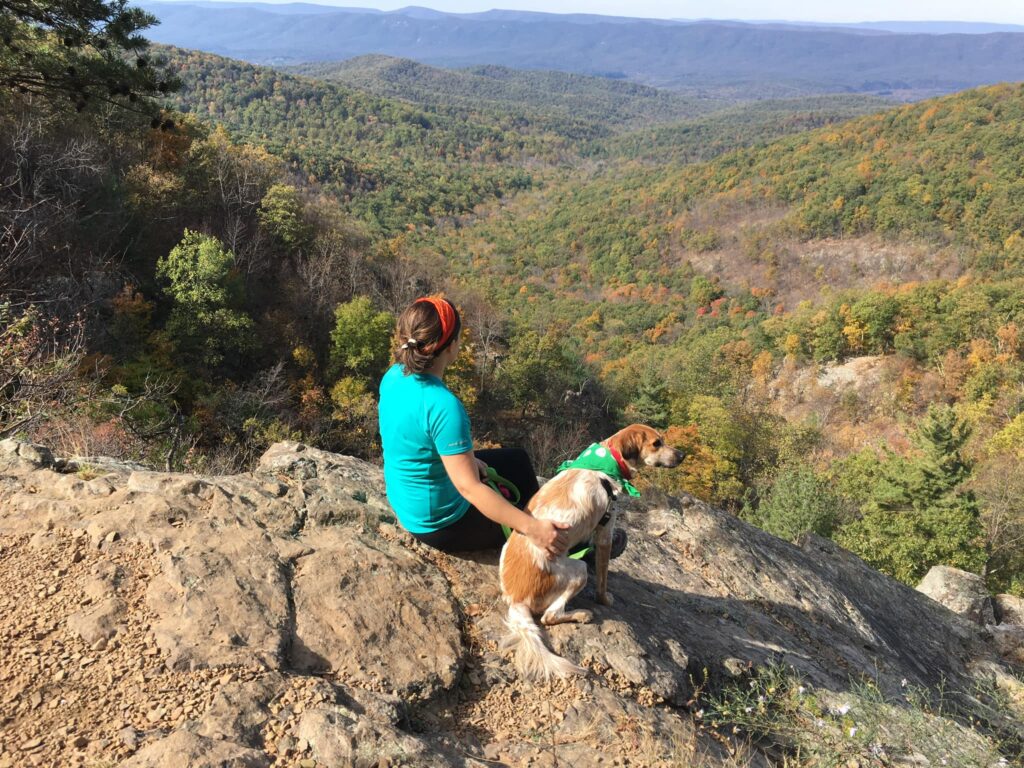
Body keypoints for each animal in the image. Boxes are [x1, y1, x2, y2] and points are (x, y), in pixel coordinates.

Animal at [495, 423, 679, 684]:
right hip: (577, 572)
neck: (604, 464)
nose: (681, 455)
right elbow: (603, 577)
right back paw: (581, 614)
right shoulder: (605, 531)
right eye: (656, 444)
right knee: (549, 616)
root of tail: (515, 598)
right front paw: (604, 599)